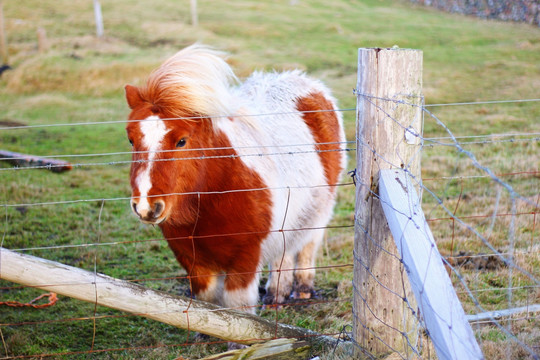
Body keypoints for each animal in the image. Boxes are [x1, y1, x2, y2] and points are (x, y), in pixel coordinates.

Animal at [124, 44, 346, 316]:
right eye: (131, 139)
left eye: (182, 141)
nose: (146, 207)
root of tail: (307, 82)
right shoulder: (193, 262)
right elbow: (208, 306)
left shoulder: (245, 260)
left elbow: (237, 310)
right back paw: (276, 295)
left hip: (320, 209)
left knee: (307, 246)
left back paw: (301, 290)